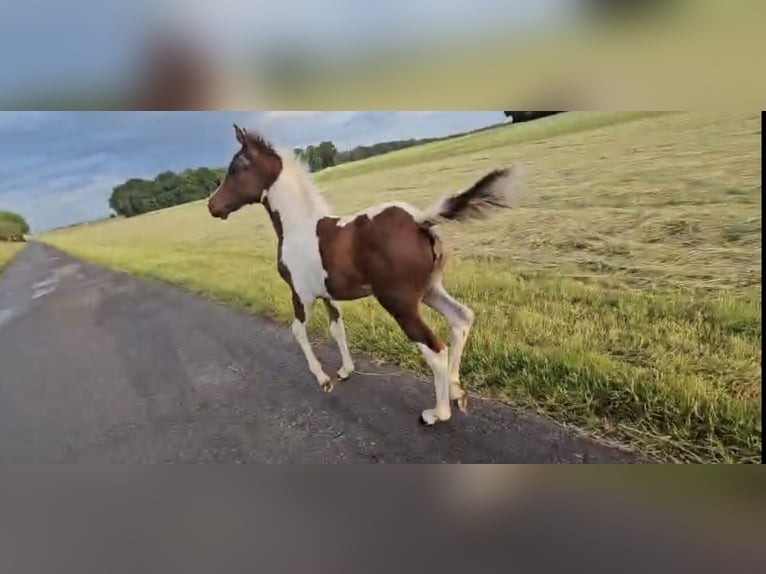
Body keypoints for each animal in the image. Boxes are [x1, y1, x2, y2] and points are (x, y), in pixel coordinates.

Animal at [208, 124, 524, 426]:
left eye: (235, 168)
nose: (212, 205)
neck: (299, 225)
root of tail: (419, 220)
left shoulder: (301, 295)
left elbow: (297, 331)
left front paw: (324, 380)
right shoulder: (328, 295)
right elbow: (337, 329)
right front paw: (345, 371)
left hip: (400, 302)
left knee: (435, 349)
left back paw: (436, 413)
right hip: (431, 290)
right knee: (461, 319)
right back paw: (457, 392)